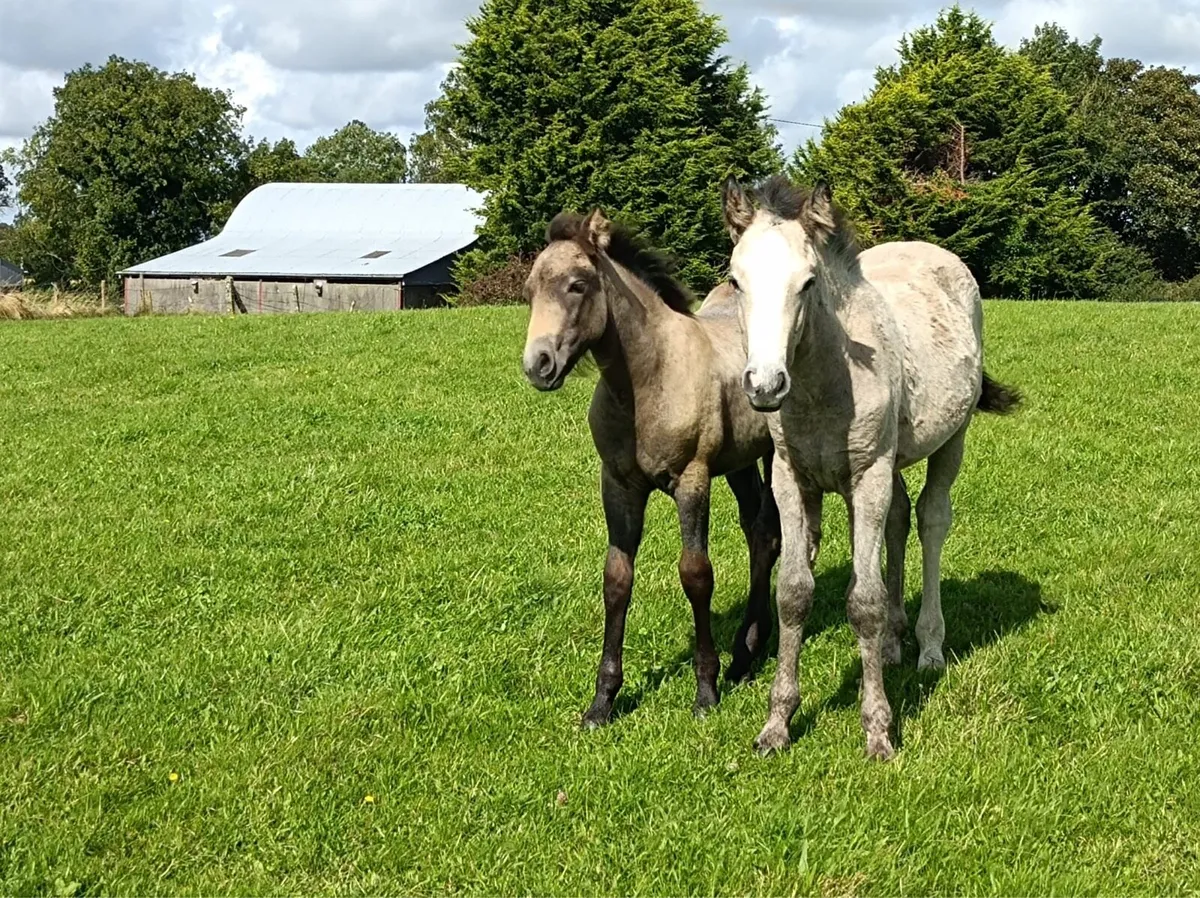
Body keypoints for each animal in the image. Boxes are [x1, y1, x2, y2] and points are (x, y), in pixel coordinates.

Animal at [521, 208, 789, 728]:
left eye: (578, 285)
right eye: (529, 290)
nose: (537, 364)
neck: (647, 381)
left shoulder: (692, 479)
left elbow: (696, 574)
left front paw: (705, 690)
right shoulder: (619, 485)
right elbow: (616, 580)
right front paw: (602, 701)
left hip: (772, 455)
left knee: (771, 533)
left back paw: (744, 653)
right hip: (740, 463)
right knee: (760, 534)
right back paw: (746, 655)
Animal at [721, 174, 1021, 760]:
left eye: (808, 282)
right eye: (735, 280)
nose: (764, 385)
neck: (822, 387)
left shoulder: (869, 477)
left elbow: (864, 600)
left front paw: (878, 728)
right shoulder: (791, 479)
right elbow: (794, 592)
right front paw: (777, 723)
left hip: (950, 439)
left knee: (930, 519)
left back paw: (928, 646)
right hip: (895, 456)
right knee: (901, 519)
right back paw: (892, 644)